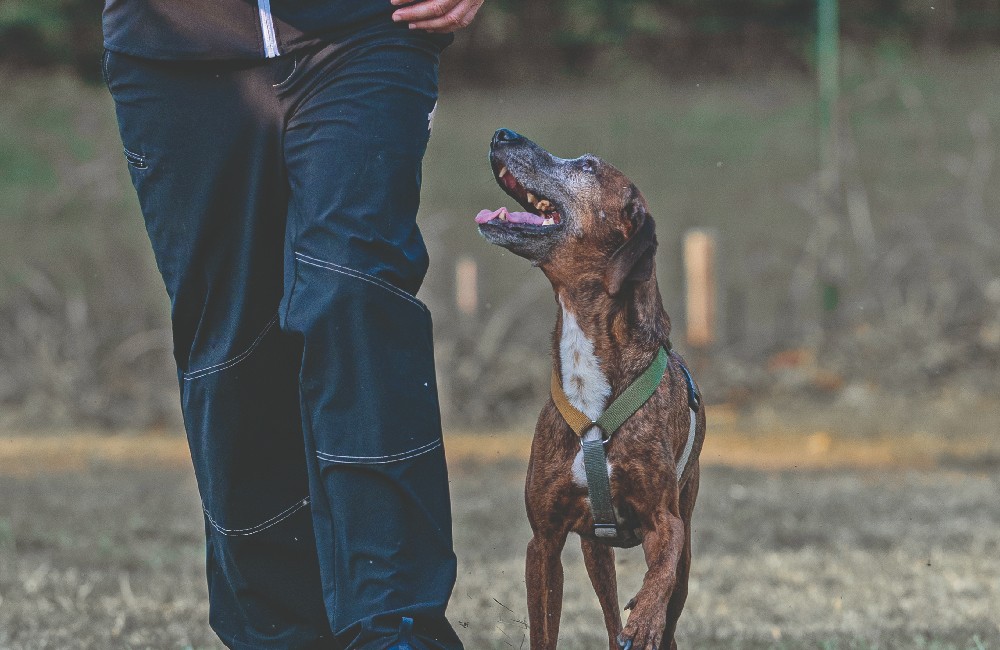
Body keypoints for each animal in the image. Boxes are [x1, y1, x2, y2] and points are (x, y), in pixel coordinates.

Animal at [474, 129, 704, 644]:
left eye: (587, 167)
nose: (502, 134)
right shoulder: (544, 543)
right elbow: (545, 630)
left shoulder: (666, 524)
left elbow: (658, 577)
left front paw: (645, 620)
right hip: (593, 552)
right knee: (609, 611)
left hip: (685, 540)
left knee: (670, 602)